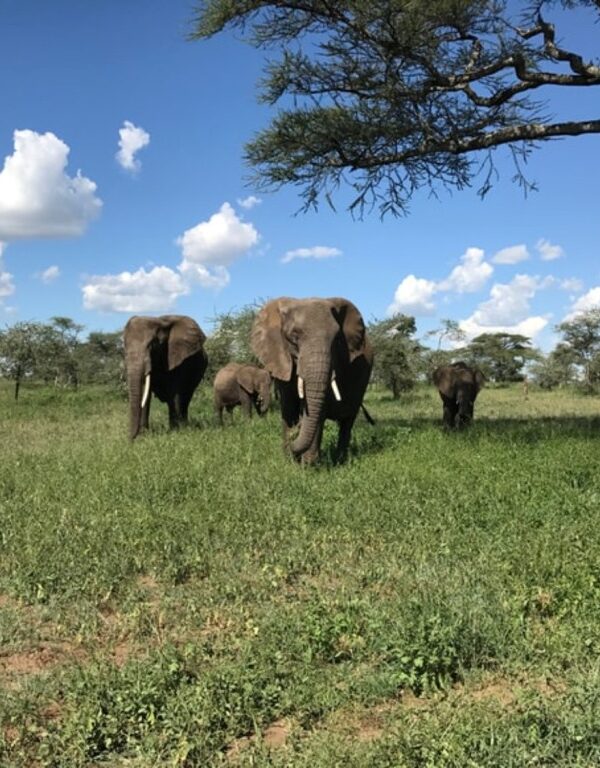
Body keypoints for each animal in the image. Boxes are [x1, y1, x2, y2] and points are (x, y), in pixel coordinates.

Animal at [251, 296, 373, 464]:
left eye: (337, 339)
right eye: (294, 336)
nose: (297, 429)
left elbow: (318, 409)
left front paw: (308, 465)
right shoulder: (282, 359)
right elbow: (288, 407)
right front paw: (289, 461)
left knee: (347, 423)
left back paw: (340, 460)